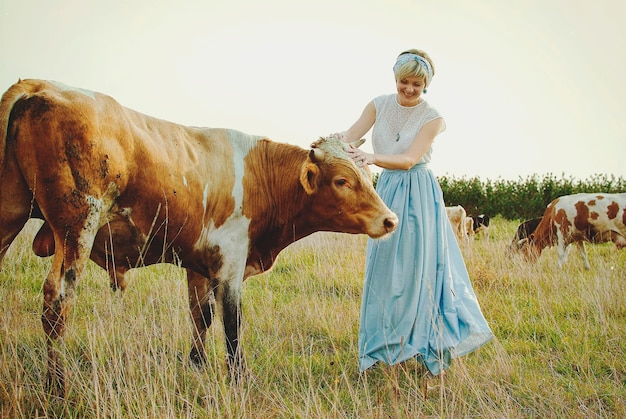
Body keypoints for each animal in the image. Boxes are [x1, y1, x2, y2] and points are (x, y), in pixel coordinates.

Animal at [0, 79, 398, 400]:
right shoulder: (230, 266)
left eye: (367, 173)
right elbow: (232, 325)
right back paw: (57, 386)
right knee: (57, 304)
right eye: (342, 180)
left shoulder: (199, 264)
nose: (389, 220)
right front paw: (238, 380)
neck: (260, 176)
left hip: (11, 216)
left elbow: (200, 316)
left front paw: (196, 365)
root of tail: (38, 86)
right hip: (77, 227)